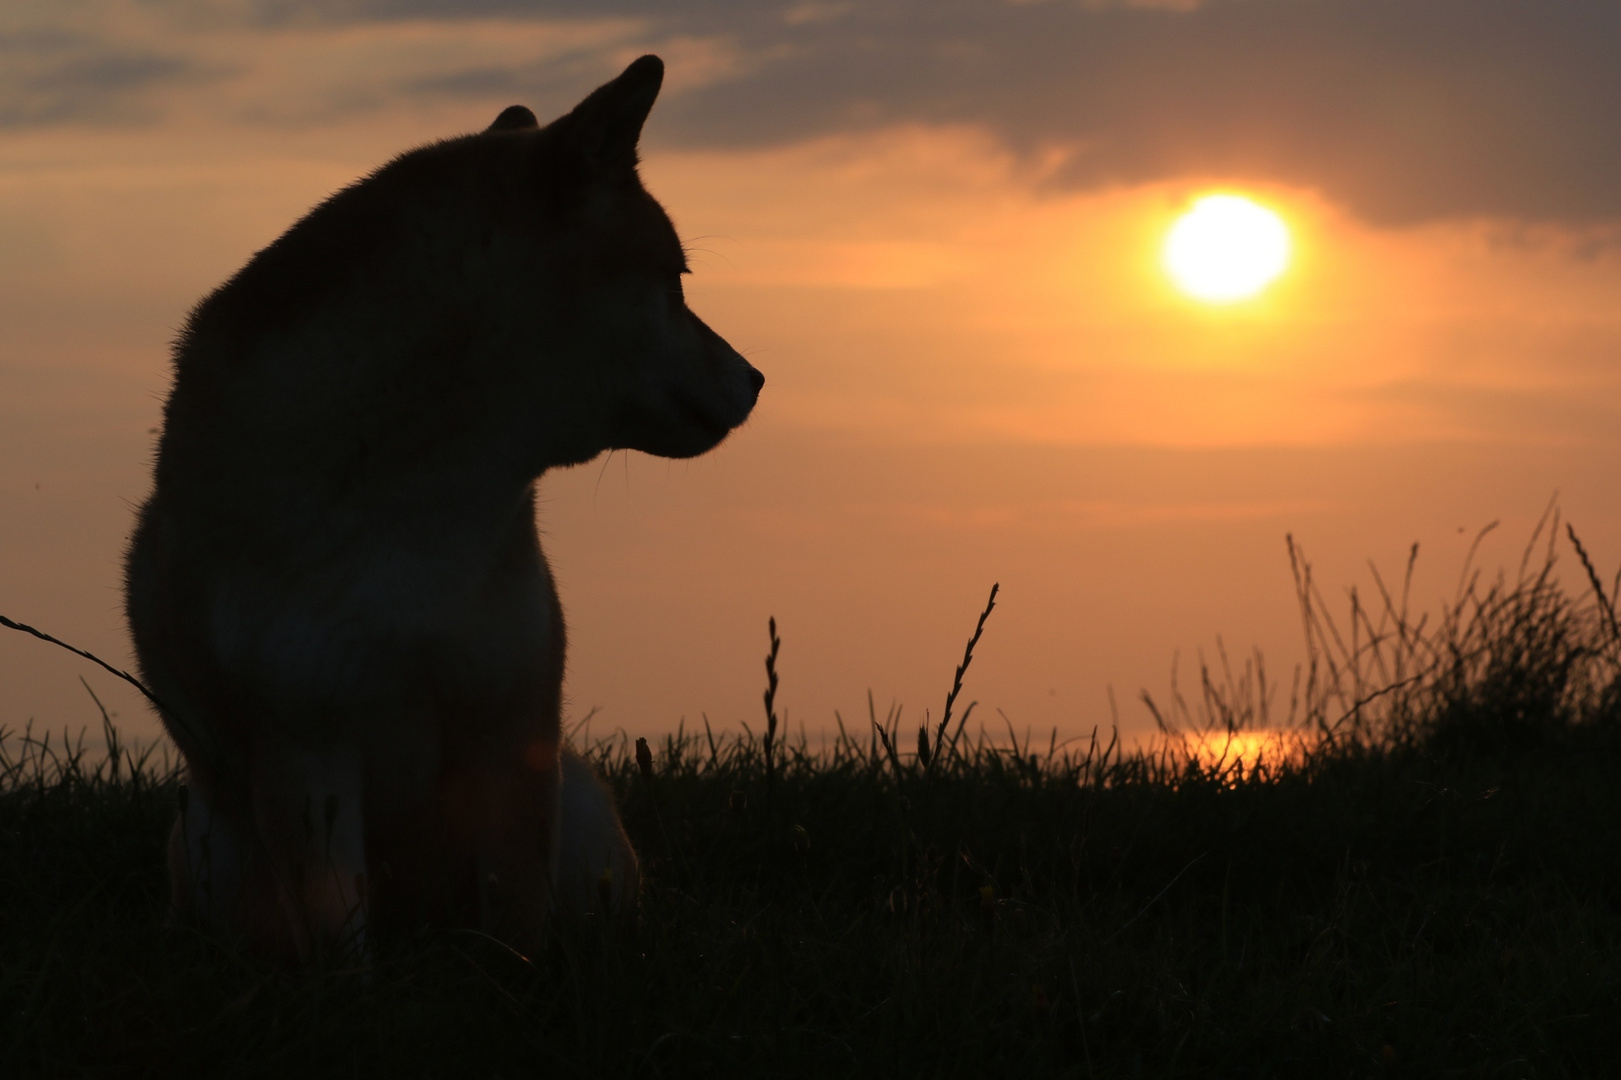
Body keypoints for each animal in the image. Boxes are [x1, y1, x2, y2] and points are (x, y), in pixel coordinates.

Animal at [121, 54, 765, 960]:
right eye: (678, 281)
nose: (756, 377)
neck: (420, 498)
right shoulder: (303, 754)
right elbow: (339, 940)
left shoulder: (511, 727)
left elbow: (518, 910)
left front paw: (519, 973)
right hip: (214, 849)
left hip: (584, 820)